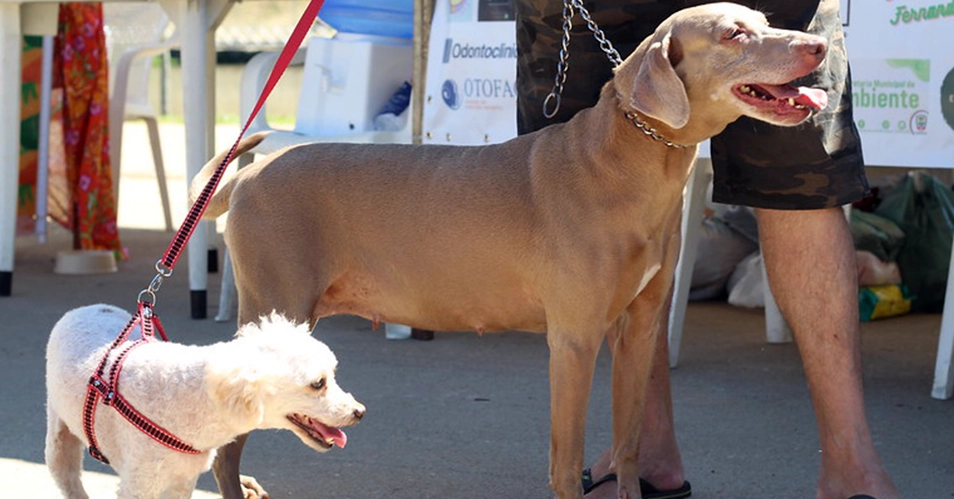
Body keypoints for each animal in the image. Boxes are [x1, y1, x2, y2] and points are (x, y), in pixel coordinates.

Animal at [43, 304, 364, 499]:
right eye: (318, 383)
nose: (359, 412)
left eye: (332, 375)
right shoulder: (139, 485)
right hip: (58, 437)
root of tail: (83, 309)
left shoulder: (182, 480)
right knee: (67, 475)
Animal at [195, 2, 832, 496]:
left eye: (766, 20)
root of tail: (248, 173)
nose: (820, 44)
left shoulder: (641, 326)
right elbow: (565, 460)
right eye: (734, 33)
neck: (627, 162)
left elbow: (627, 445)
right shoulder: (574, 338)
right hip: (276, 301)